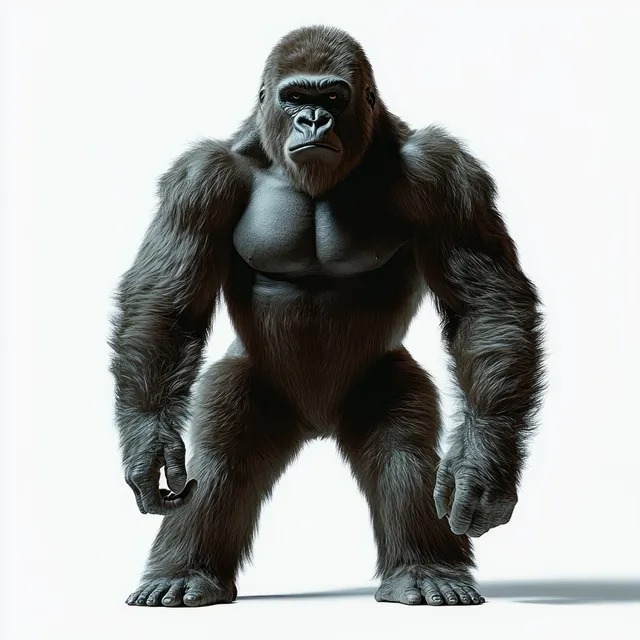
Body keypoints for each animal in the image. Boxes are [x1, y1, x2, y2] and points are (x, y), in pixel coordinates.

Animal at [110, 24, 545, 607]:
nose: (312, 120)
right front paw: (150, 446)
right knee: (223, 457)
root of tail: (315, 425)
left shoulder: (445, 171)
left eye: (333, 99)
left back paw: (425, 570)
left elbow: (483, 304)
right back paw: (184, 573)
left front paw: (482, 469)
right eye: (295, 96)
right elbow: (166, 307)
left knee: (404, 453)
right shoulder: (198, 177)